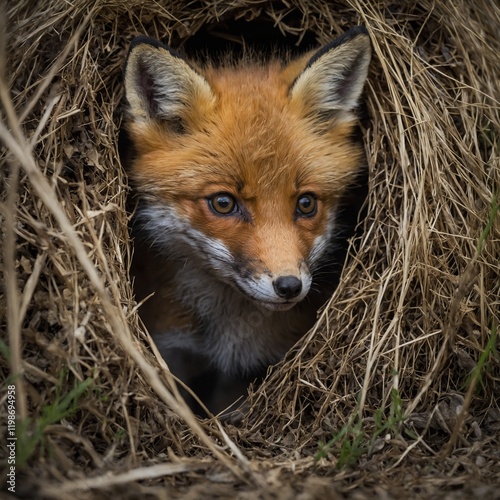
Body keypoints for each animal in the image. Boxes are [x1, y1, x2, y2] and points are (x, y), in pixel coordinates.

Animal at [121, 25, 372, 416]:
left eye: (306, 203)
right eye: (223, 203)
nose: (289, 286)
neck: (228, 328)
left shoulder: (247, 373)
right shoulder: (173, 351)